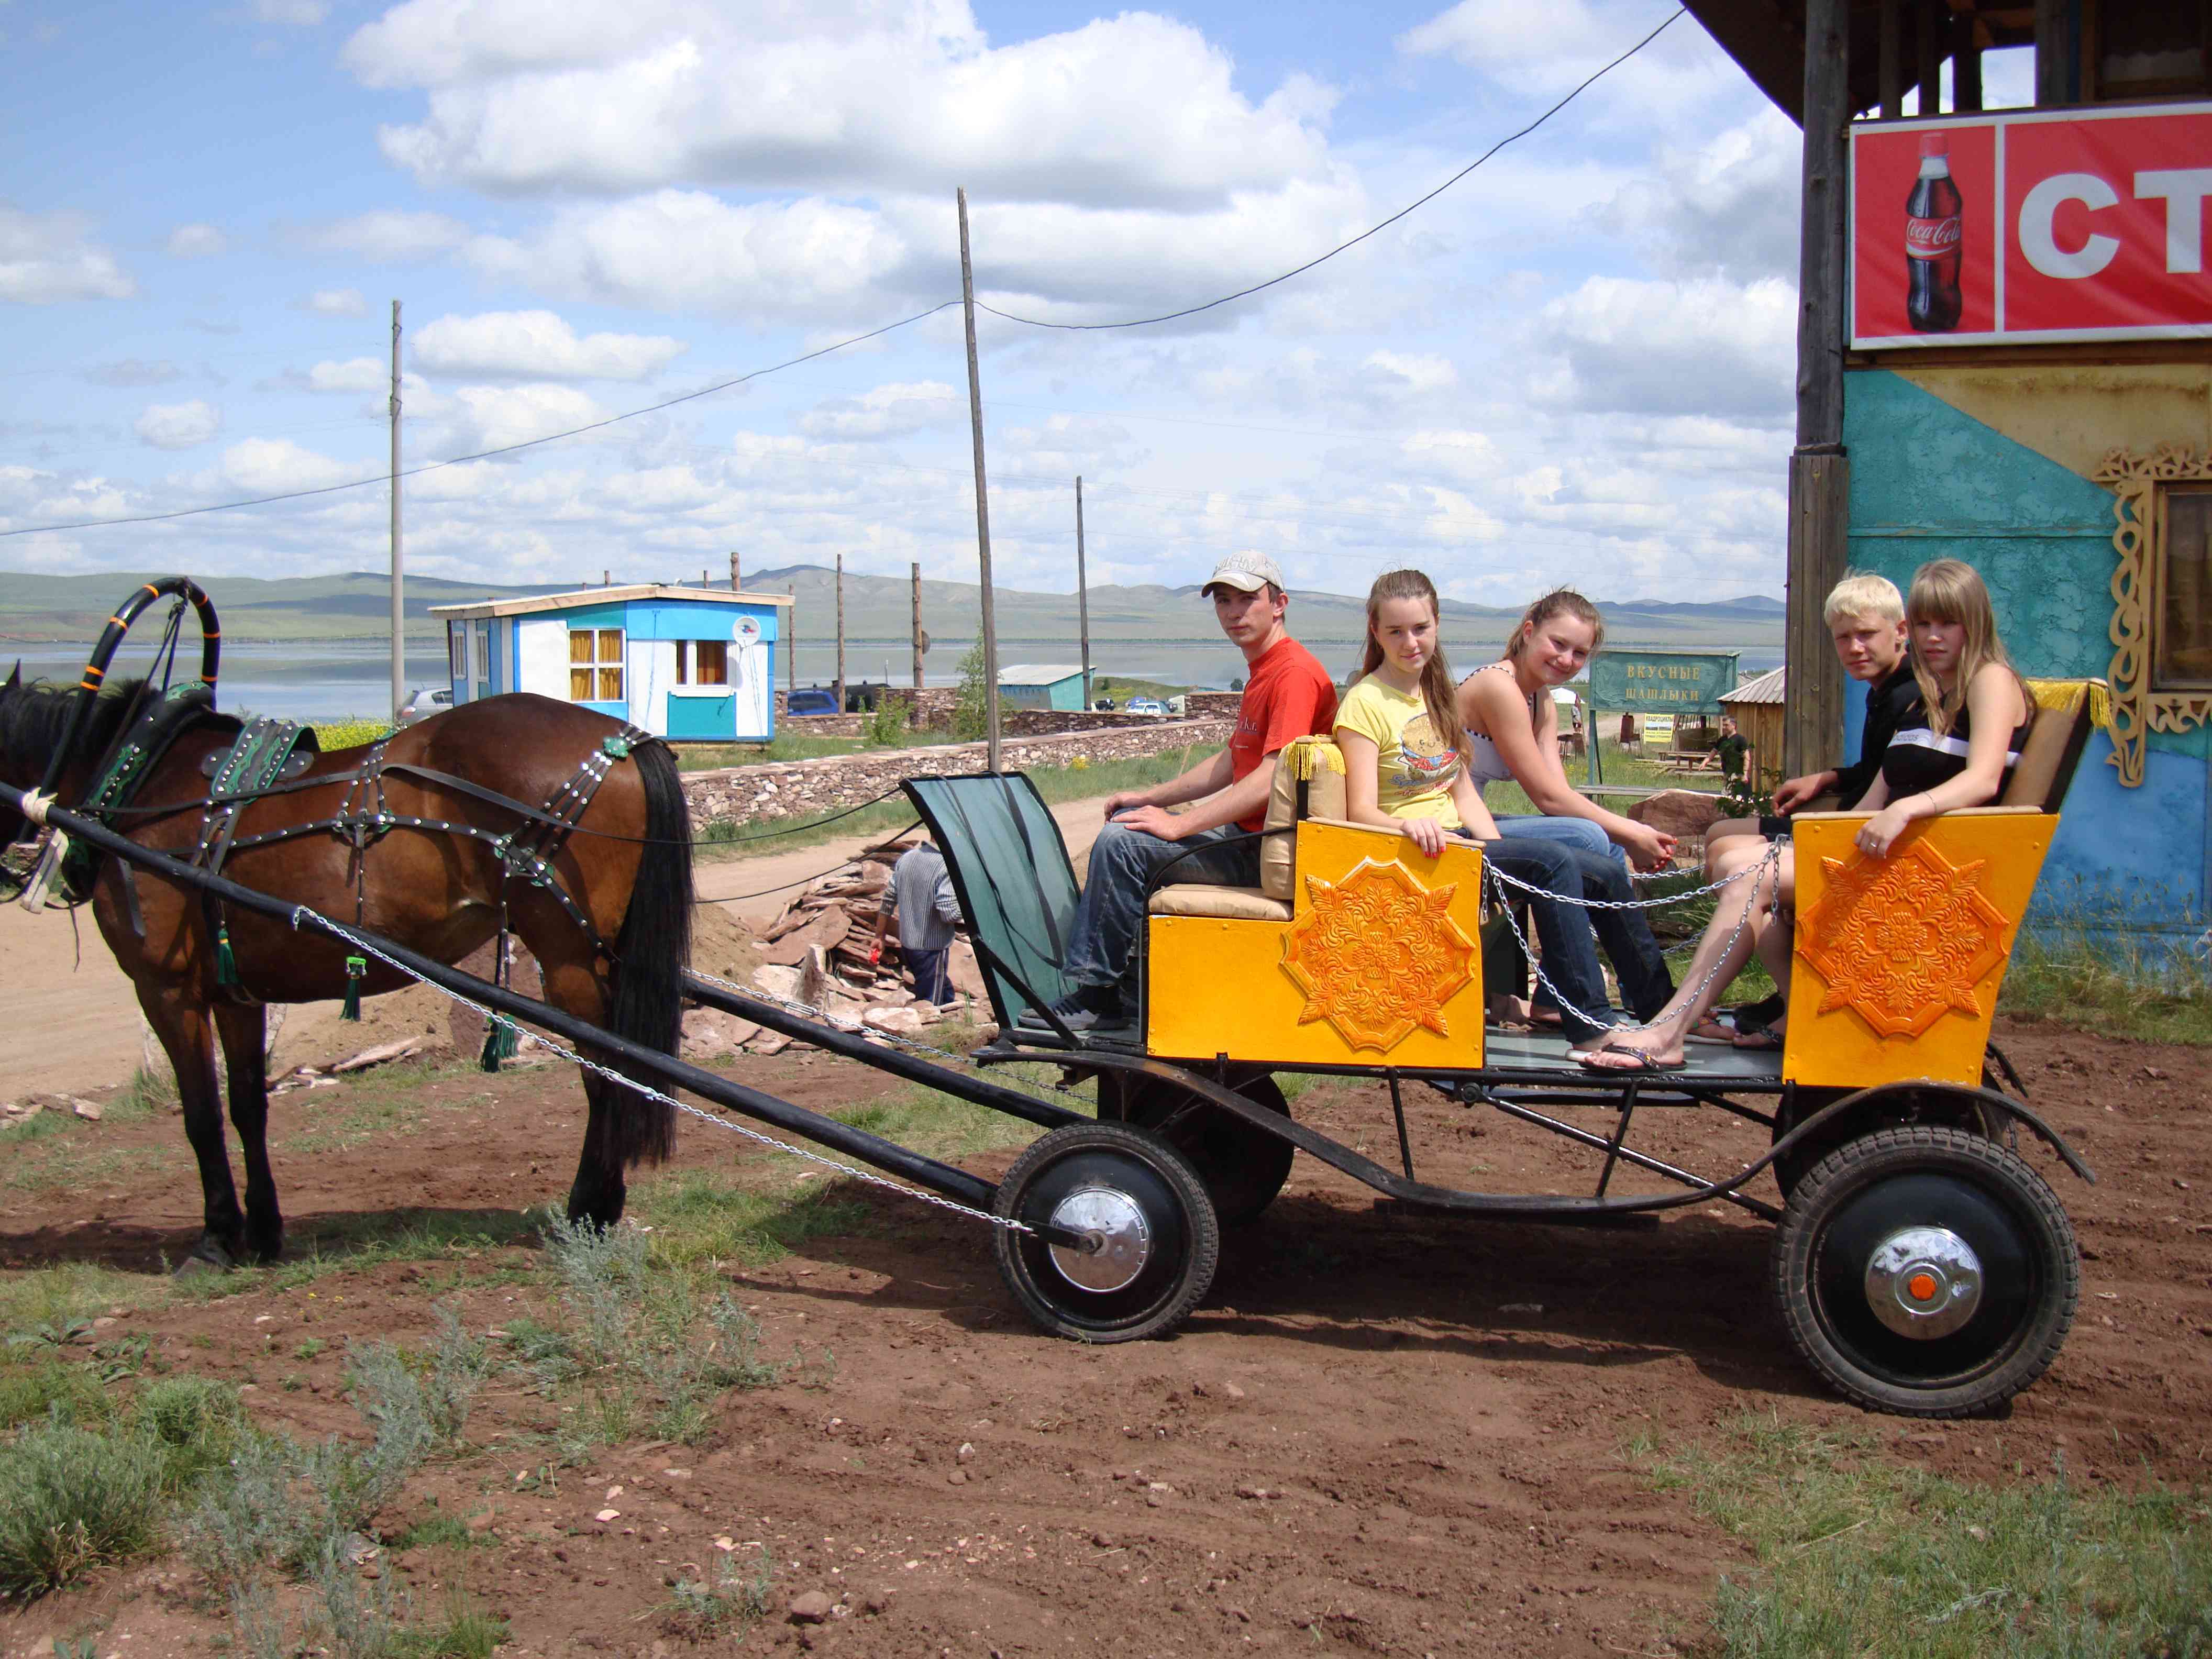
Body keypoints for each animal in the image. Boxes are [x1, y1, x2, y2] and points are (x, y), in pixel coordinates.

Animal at [0, 672, 690, 1274]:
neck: (138, 779)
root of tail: (626, 740)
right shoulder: (235, 994)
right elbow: (247, 1105)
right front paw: (262, 1232)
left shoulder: (167, 989)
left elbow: (199, 1115)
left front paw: (216, 1239)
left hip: (568, 958)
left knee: (608, 1075)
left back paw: (590, 1210)